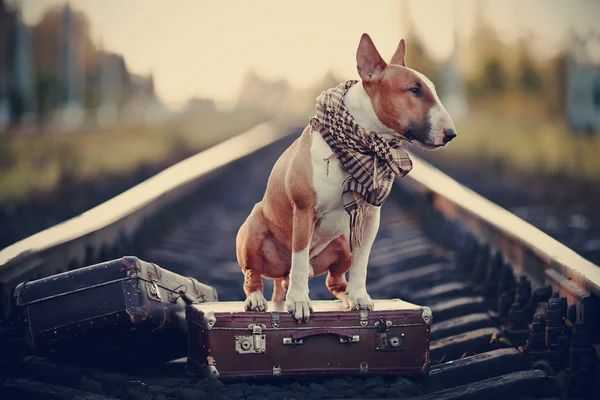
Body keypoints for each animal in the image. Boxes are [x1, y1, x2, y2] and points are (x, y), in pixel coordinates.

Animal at [237, 33, 458, 322]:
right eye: (415, 90)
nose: (451, 134)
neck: (362, 146)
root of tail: (280, 277)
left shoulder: (370, 216)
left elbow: (362, 261)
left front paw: (360, 297)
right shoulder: (303, 210)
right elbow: (299, 260)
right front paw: (299, 301)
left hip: (341, 242)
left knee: (334, 281)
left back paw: (345, 297)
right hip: (253, 229)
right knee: (254, 276)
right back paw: (257, 299)